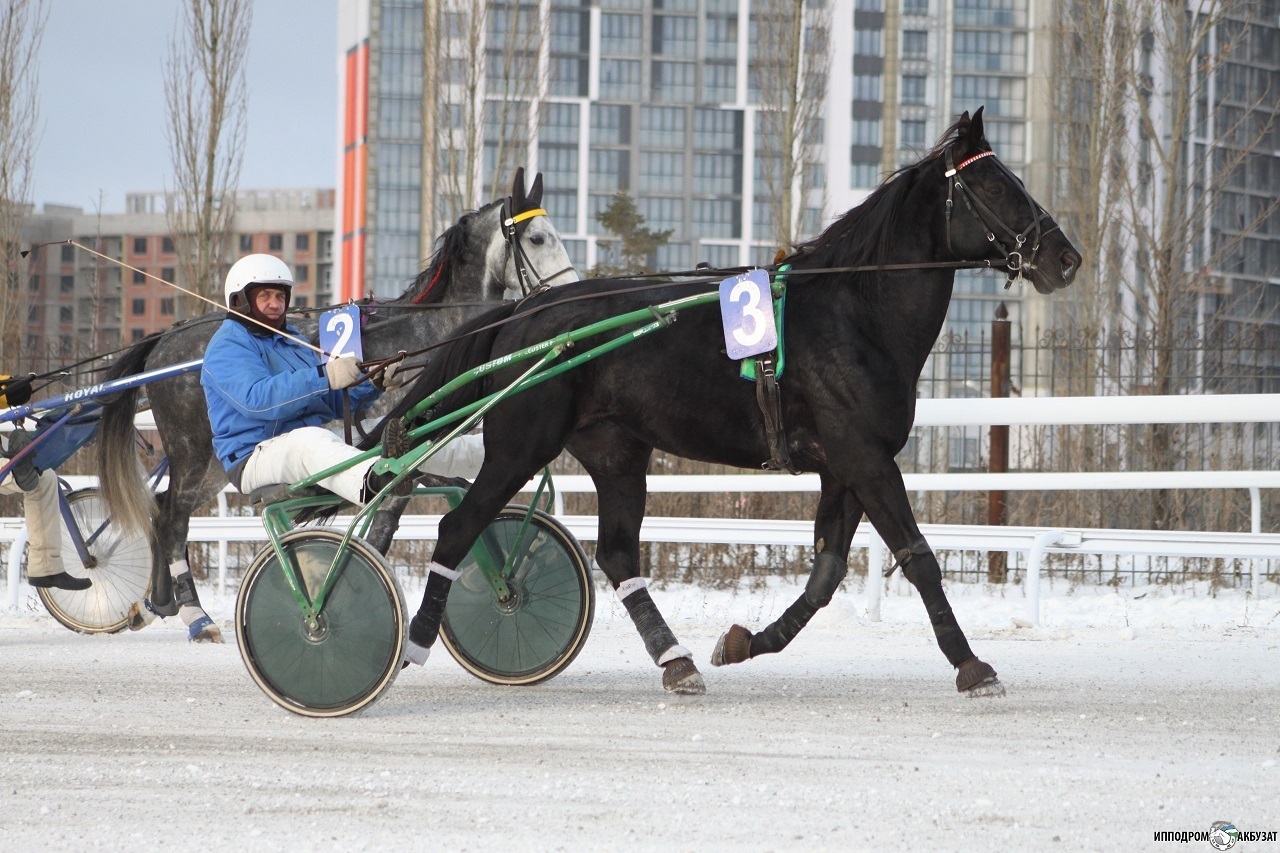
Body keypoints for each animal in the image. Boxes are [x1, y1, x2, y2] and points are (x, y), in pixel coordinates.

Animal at [97, 171, 578, 637]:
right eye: (538, 238)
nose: (572, 292)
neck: (433, 337)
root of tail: (165, 339)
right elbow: (389, 519)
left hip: (215, 469)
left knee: (162, 511)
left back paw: (158, 603)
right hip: (195, 455)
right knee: (171, 521)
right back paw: (195, 614)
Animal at [386, 108, 1080, 691]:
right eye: (996, 186)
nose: (1066, 258)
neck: (855, 313)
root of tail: (521, 314)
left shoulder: (845, 465)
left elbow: (826, 574)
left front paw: (743, 641)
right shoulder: (865, 457)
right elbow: (918, 557)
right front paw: (972, 664)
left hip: (616, 451)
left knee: (615, 552)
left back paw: (677, 661)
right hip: (521, 444)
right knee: (457, 528)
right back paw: (414, 639)